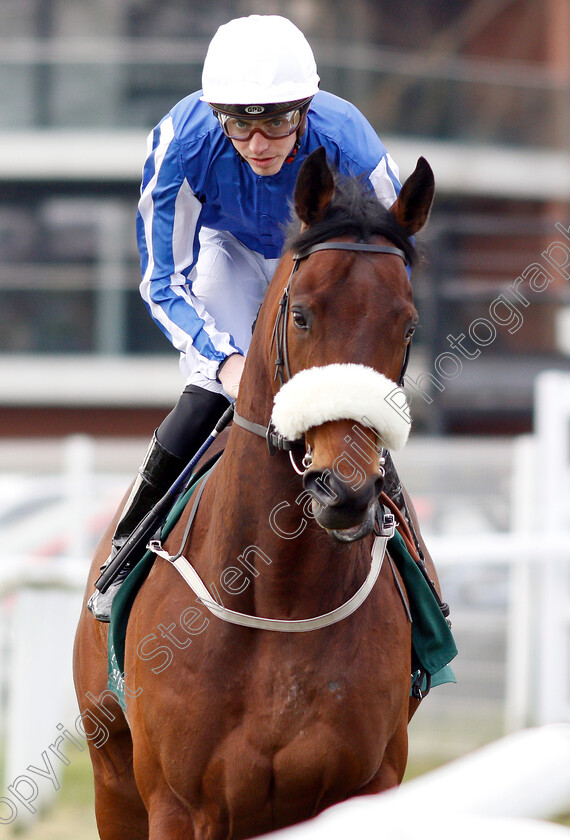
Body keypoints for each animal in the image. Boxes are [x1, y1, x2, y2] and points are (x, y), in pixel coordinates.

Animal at [73, 149, 432, 840]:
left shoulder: (366, 788)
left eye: (408, 326)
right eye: (302, 314)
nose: (344, 490)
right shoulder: (177, 806)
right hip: (112, 780)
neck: (281, 595)